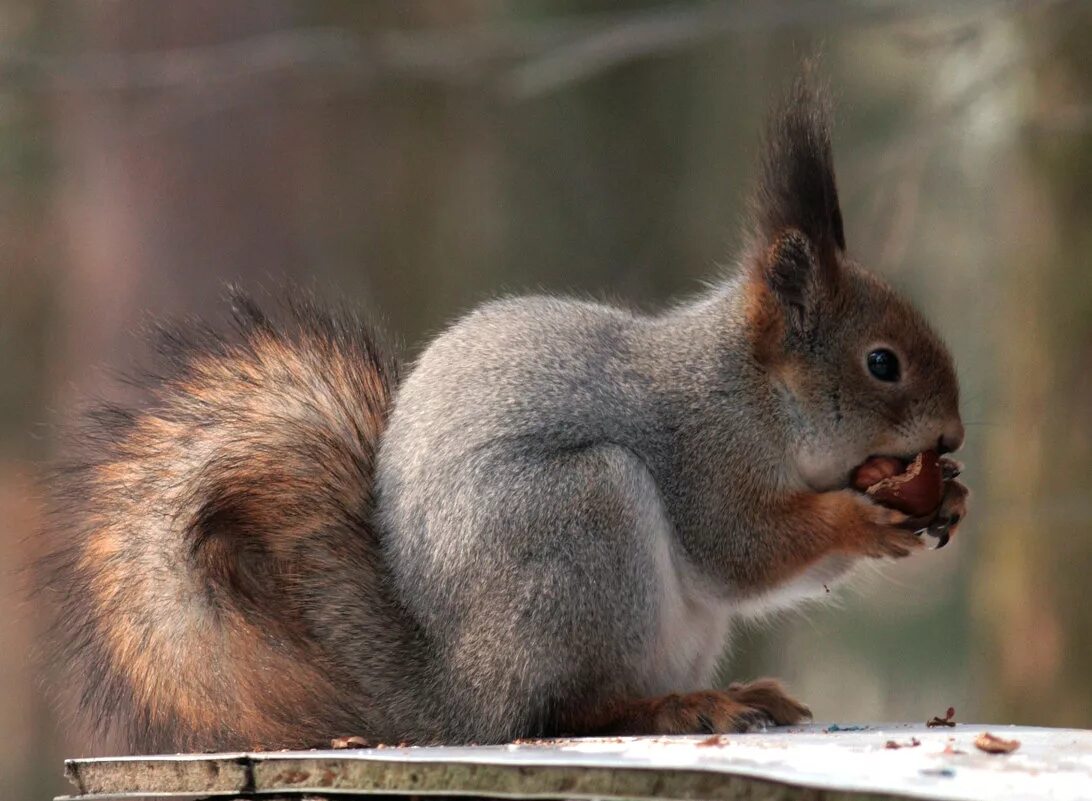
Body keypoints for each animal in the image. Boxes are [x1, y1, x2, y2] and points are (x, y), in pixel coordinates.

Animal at [40, 72, 965, 755]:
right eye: (882, 363)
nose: (953, 435)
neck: (753, 393)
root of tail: (461, 691)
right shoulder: (703, 454)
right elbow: (743, 548)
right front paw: (863, 517)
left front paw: (947, 495)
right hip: (583, 526)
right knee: (563, 712)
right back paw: (679, 709)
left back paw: (733, 692)